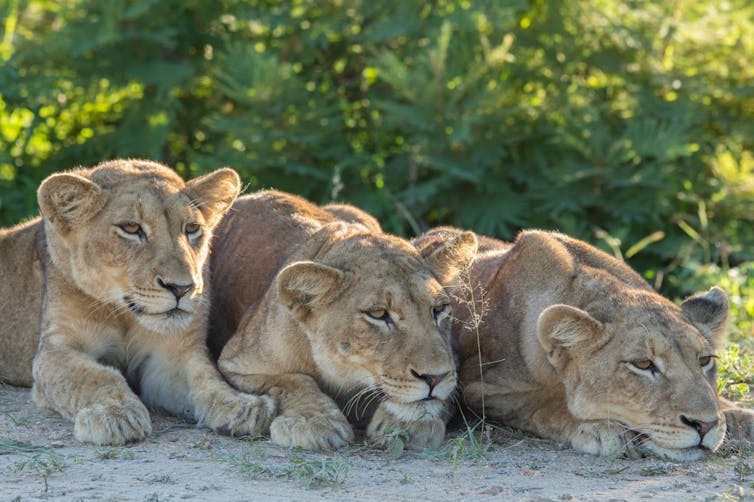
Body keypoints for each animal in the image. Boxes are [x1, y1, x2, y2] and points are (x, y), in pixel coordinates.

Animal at [0, 159, 276, 446]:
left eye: (191, 229)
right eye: (131, 229)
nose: (182, 288)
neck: (124, 314)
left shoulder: (173, 356)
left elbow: (208, 379)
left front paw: (242, 406)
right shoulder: (55, 351)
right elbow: (96, 377)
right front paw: (115, 415)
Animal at [209, 192, 472, 452]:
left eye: (438, 309)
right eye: (378, 314)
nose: (434, 378)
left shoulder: (453, 361)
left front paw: (408, 420)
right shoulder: (234, 363)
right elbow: (292, 379)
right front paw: (313, 421)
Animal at [412, 226, 752, 458]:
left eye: (704, 361)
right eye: (643, 364)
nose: (705, 425)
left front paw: (738, 417)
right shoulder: (478, 386)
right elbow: (542, 405)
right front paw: (600, 429)